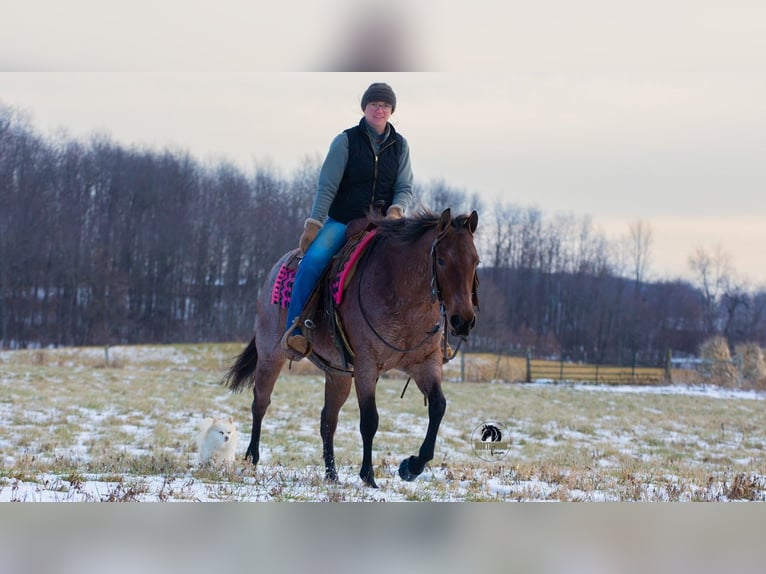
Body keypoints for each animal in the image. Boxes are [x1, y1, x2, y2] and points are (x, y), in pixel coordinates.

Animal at [222, 208, 479, 488]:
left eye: (475, 261)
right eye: (441, 260)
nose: (463, 320)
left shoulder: (425, 363)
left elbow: (438, 406)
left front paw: (411, 466)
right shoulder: (367, 365)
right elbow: (369, 420)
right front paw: (369, 475)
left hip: (338, 374)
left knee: (328, 420)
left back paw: (331, 473)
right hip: (271, 355)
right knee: (261, 402)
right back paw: (251, 458)